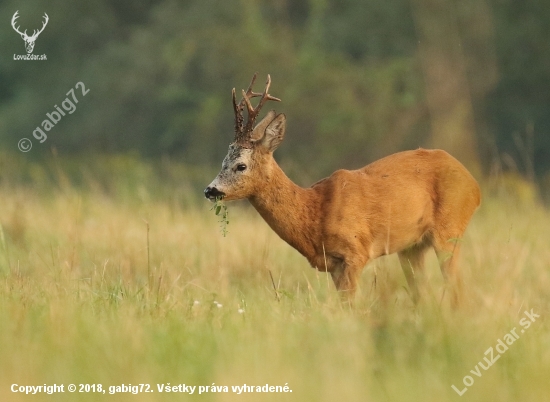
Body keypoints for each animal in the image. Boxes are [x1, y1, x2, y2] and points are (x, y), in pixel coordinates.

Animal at [205, 74, 480, 304]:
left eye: (241, 165)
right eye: (222, 161)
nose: (210, 190)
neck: (315, 212)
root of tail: (474, 186)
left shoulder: (355, 253)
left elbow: (351, 306)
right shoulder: (334, 265)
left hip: (449, 230)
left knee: (457, 289)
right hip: (412, 247)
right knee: (422, 294)